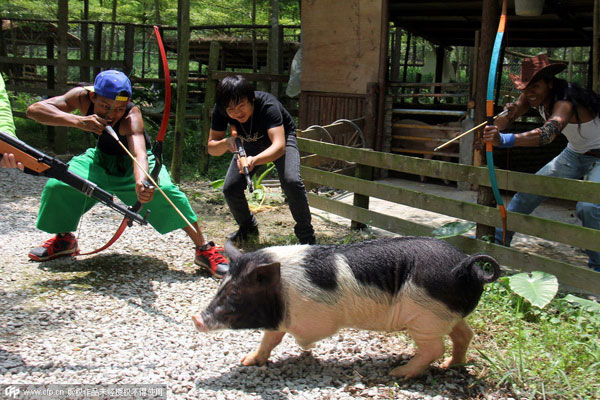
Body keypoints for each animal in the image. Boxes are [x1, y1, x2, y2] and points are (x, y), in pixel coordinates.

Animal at [191, 236, 496, 380]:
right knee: (464, 335)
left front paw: (305, 350)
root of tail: (468, 268)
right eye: (222, 285)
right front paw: (247, 361)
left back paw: (398, 373)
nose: (196, 317)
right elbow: (270, 339)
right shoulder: (282, 318)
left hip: (425, 318)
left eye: (236, 291)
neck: (282, 291)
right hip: (447, 315)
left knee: (435, 348)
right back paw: (451, 366)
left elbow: (290, 337)